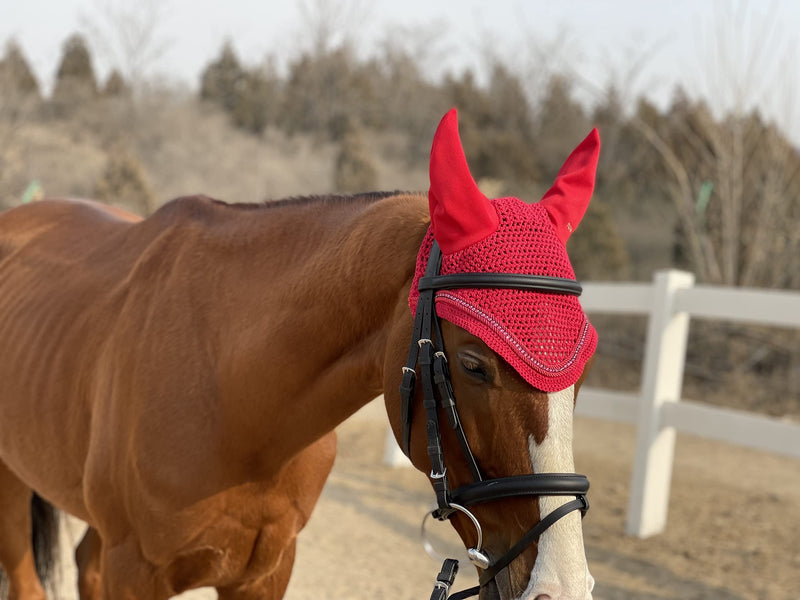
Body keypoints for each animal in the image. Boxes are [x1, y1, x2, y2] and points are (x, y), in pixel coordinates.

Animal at [0, 109, 598, 600]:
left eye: (583, 372)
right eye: (475, 364)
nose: (559, 589)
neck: (237, 399)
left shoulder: (266, 571)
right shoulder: (135, 573)